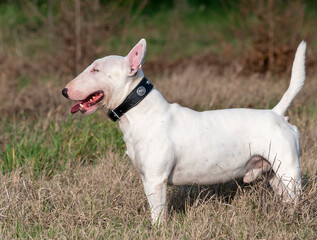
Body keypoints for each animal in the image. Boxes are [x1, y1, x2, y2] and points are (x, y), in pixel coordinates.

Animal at [60, 39, 304, 223]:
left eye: (96, 69)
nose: (64, 91)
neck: (140, 112)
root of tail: (276, 113)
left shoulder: (156, 180)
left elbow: (158, 215)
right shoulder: (146, 178)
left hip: (289, 170)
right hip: (274, 174)